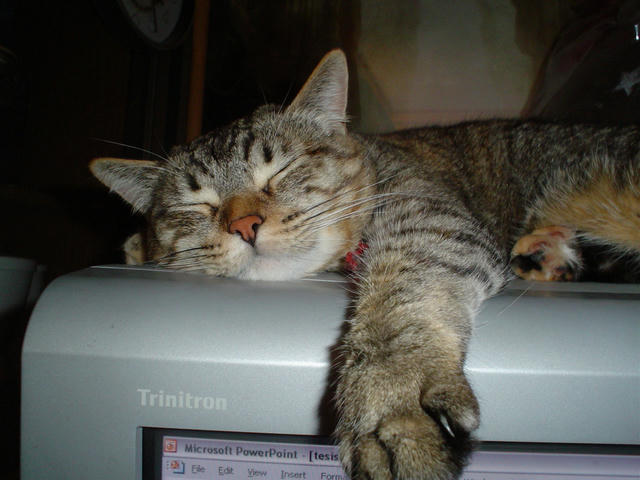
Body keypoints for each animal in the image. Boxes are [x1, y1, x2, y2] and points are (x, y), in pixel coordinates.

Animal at [90, 50, 640, 478]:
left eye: (281, 170)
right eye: (197, 205)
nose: (244, 225)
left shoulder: (430, 220)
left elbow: (400, 307)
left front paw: (391, 393)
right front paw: (139, 246)